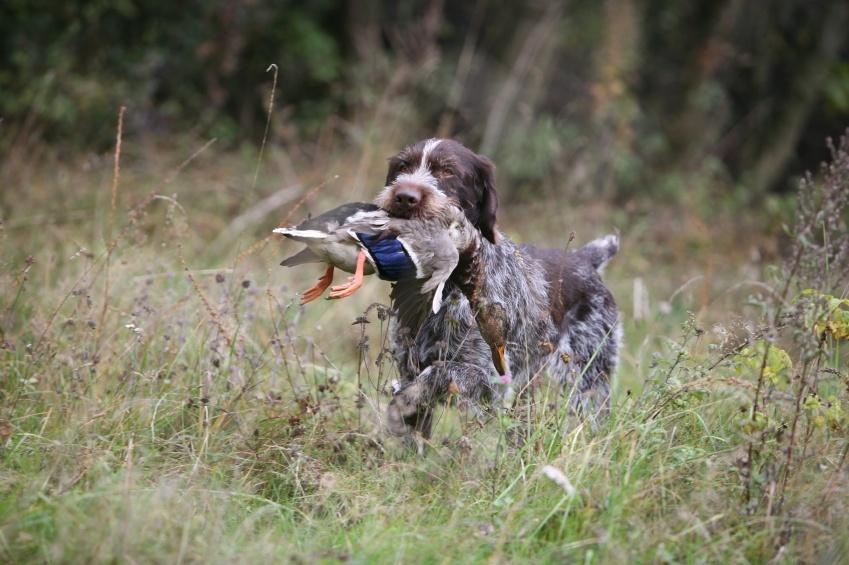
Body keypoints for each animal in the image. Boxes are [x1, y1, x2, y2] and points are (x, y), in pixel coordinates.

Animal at [374, 139, 620, 438]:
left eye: (448, 171)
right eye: (403, 167)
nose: (404, 196)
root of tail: (585, 258)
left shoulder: (492, 381)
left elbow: (439, 373)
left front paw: (403, 398)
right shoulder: (408, 363)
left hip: (588, 379)